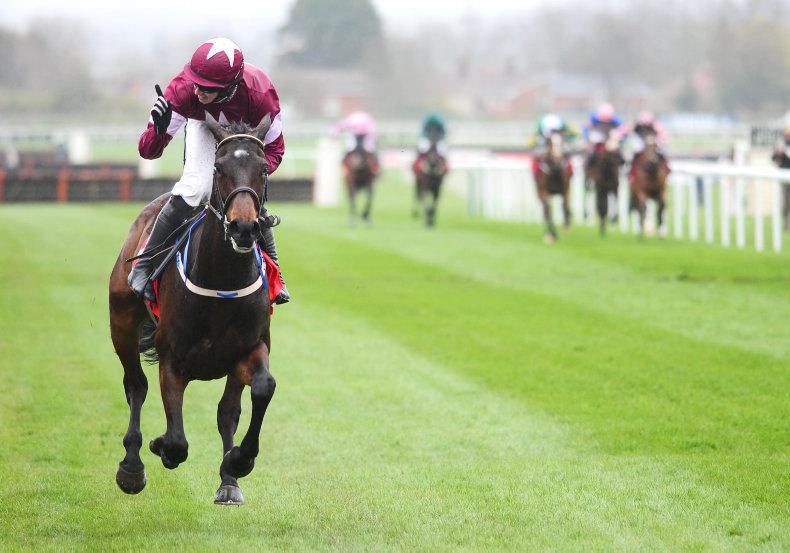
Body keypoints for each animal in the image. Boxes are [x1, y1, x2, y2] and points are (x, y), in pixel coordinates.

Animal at [109, 114, 278, 506]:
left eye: (263, 168)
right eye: (219, 167)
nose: (244, 227)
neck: (222, 279)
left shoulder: (249, 348)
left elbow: (261, 388)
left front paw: (239, 461)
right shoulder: (173, 357)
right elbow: (176, 440)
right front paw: (160, 447)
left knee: (227, 411)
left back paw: (229, 480)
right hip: (121, 320)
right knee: (135, 385)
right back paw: (131, 467)